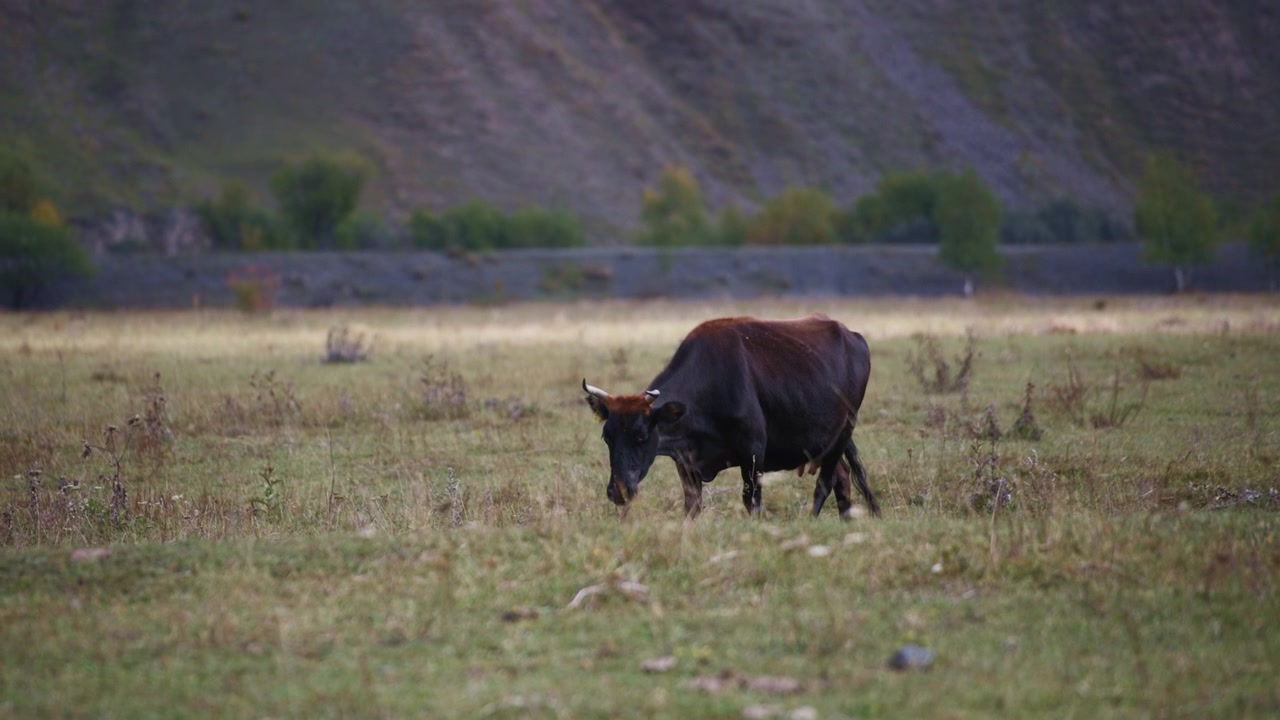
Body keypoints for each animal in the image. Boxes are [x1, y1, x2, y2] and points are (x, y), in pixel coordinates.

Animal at [582, 314, 879, 519]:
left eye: (642, 435)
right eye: (607, 436)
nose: (617, 491)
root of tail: (852, 334)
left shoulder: (753, 453)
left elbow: (752, 502)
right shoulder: (686, 462)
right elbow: (692, 506)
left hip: (844, 431)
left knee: (825, 483)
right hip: (825, 443)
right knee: (842, 477)